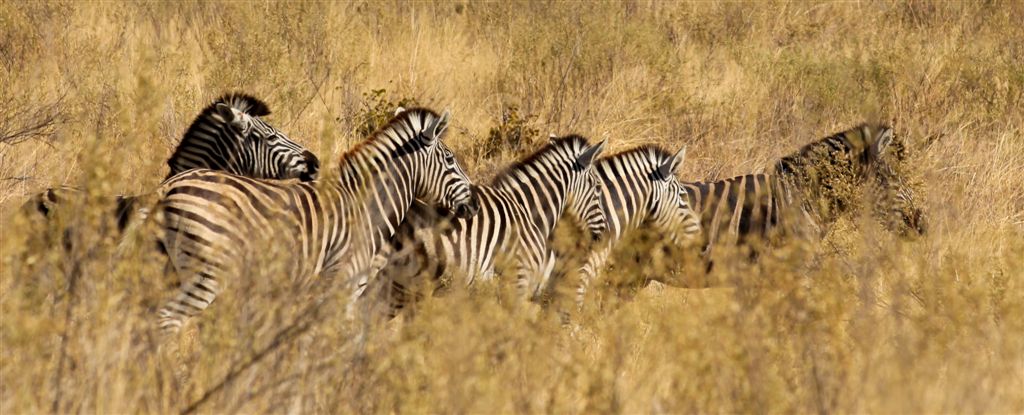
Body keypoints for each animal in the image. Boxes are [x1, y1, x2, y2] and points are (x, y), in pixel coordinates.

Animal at [152, 106, 479, 334]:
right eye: (450, 160)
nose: (475, 203)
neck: (366, 206)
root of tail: (167, 188)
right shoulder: (342, 285)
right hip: (206, 275)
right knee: (165, 321)